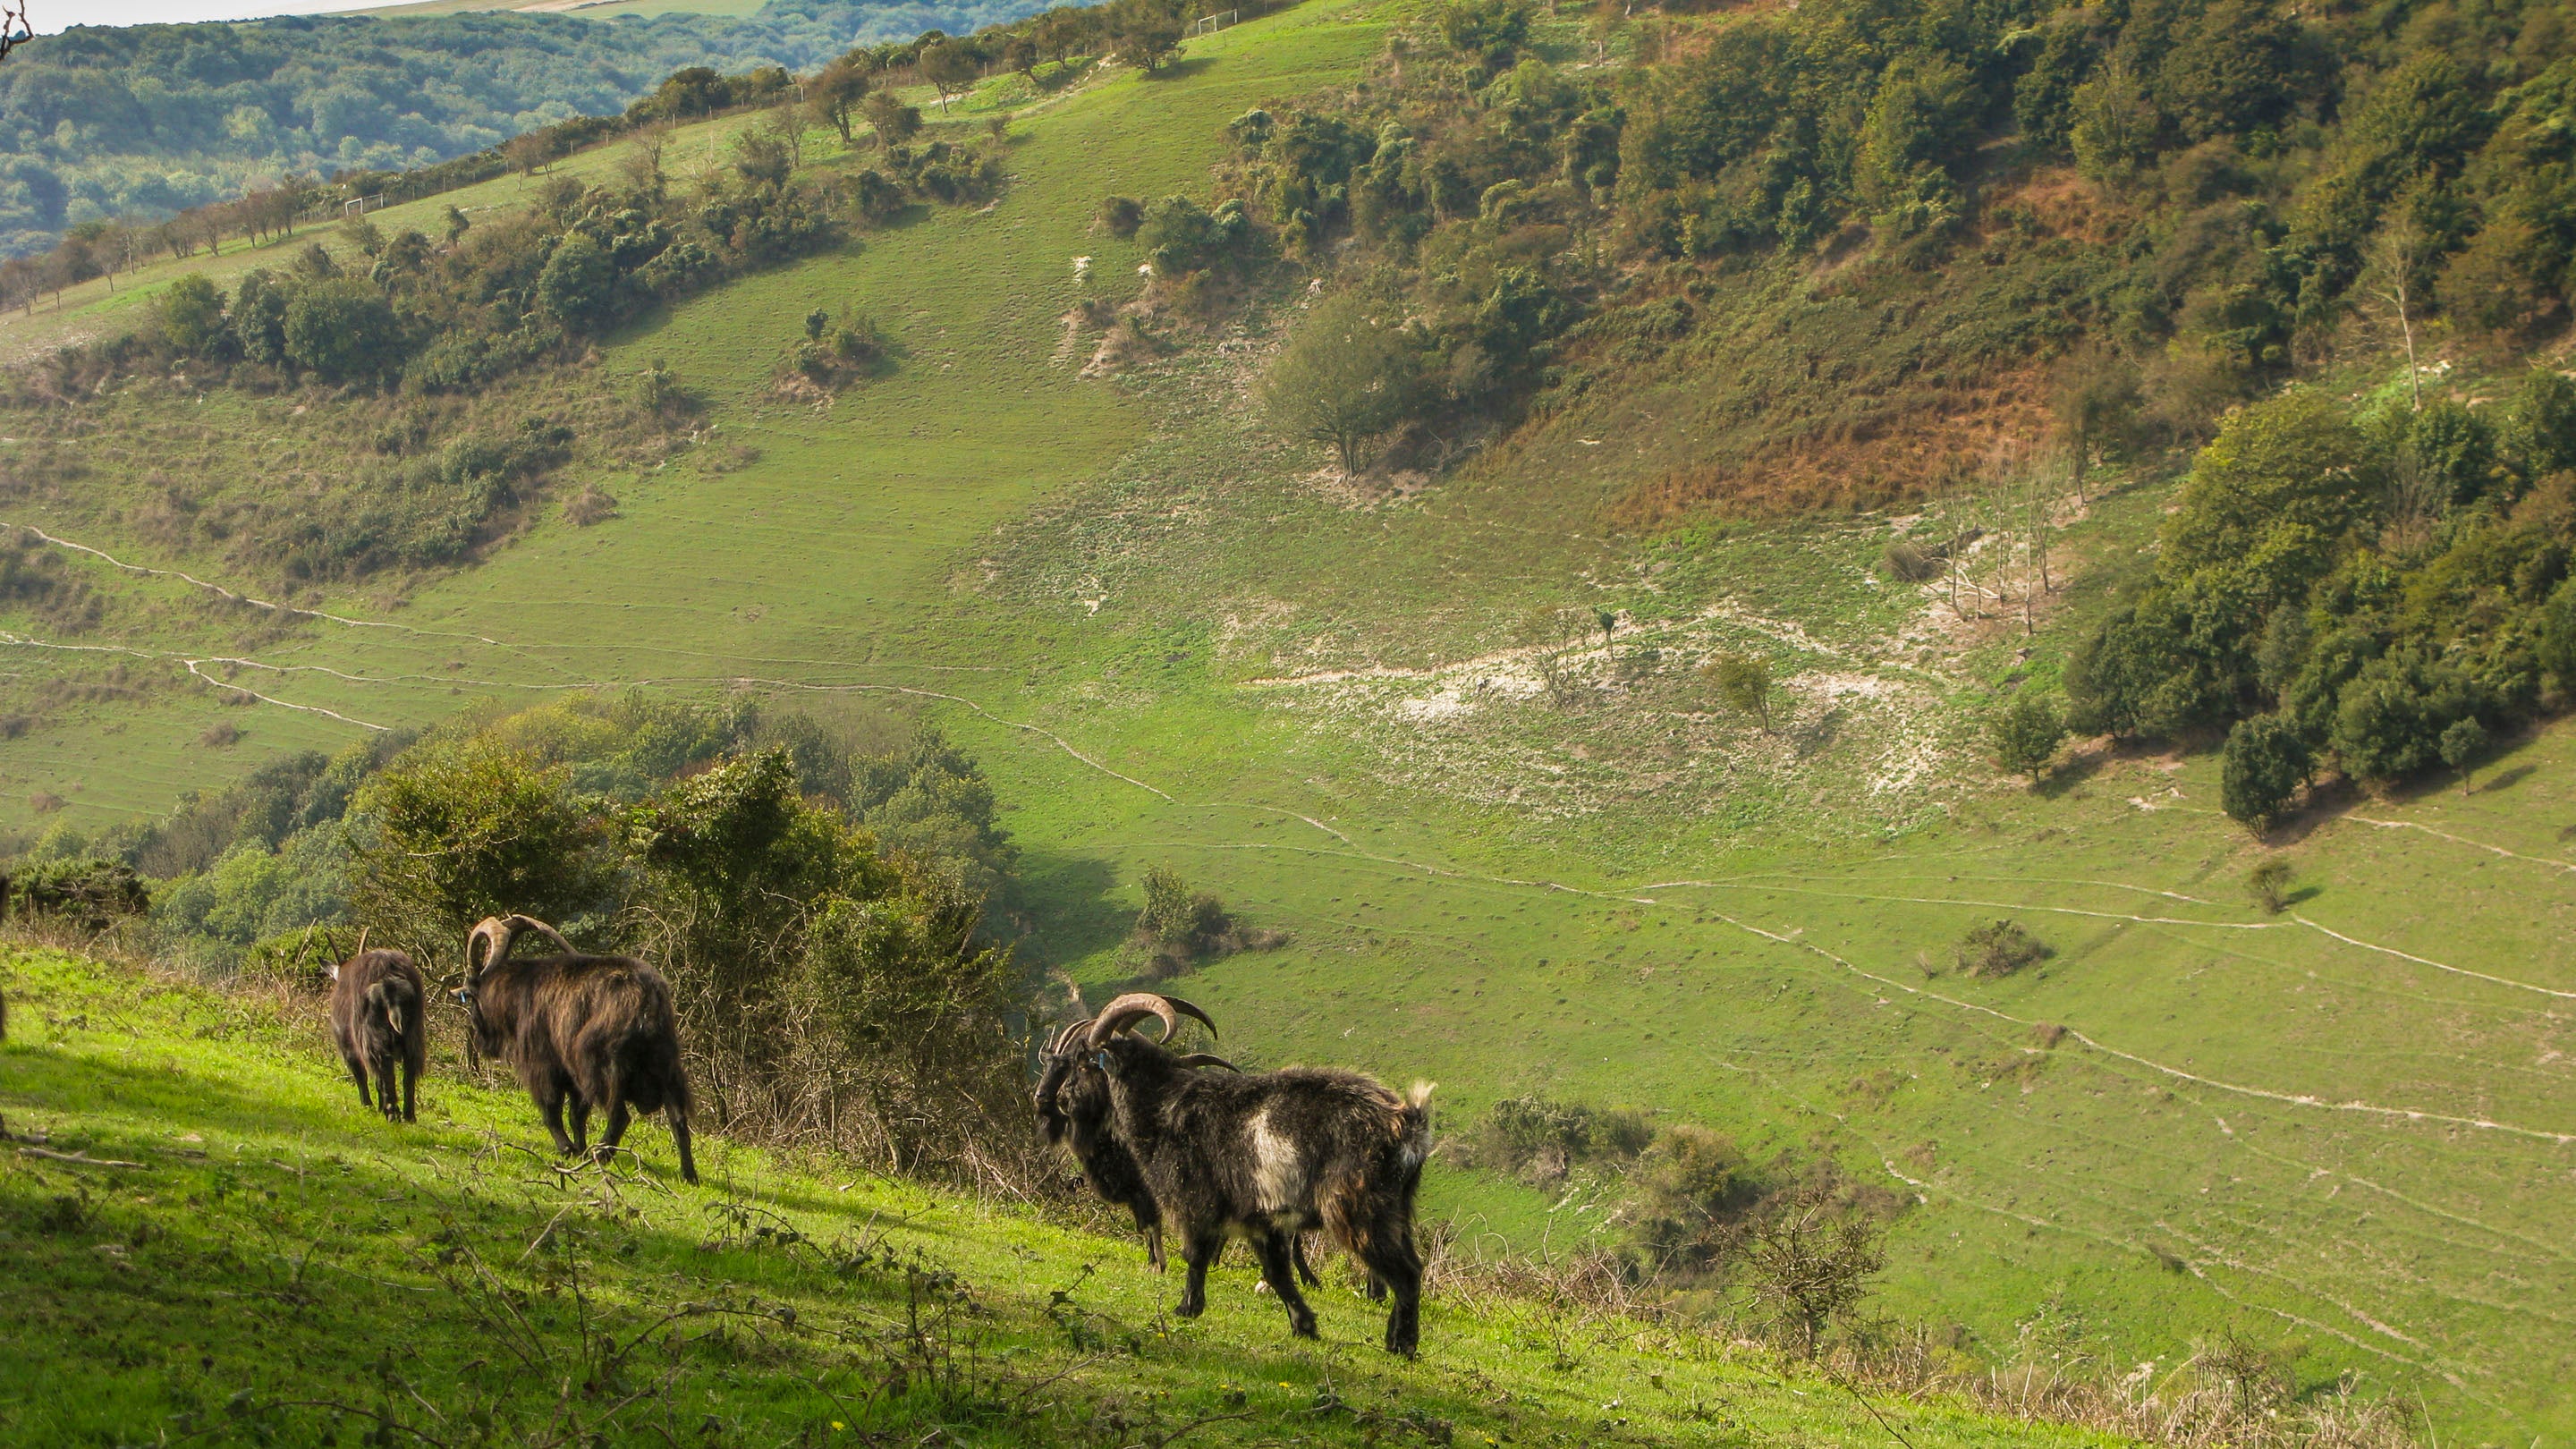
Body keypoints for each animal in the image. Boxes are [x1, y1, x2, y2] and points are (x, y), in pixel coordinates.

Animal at [326, 932, 426, 1122]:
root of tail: (390, 981)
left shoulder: (348, 1045)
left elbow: (361, 1074)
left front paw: (368, 1105)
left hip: (371, 1034)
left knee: (384, 1069)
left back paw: (392, 1113)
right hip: (414, 1033)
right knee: (408, 1071)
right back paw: (408, 1116)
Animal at [459, 914, 698, 1184]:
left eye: (471, 996)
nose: (481, 1040)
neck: (519, 989)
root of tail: (648, 999)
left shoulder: (543, 1064)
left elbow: (551, 1108)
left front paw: (567, 1149)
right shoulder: (574, 1078)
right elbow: (577, 1115)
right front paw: (579, 1150)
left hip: (599, 1063)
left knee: (620, 1117)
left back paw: (600, 1155)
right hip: (666, 1064)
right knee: (678, 1120)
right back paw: (689, 1176)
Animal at [1035, 1008, 1323, 1288]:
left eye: (1070, 1066)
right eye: (1048, 1064)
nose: (1045, 1097)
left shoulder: (1149, 1188)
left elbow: (1150, 1223)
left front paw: (1157, 1264)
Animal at [1084, 993, 1433, 1355]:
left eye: (1091, 1058)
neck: (1162, 1107)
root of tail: (1408, 1122)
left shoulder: (1195, 1200)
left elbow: (1195, 1255)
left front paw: (1186, 1309)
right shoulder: (1262, 1220)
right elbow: (1276, 1271)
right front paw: (1304, 1325)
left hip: (1358, 1208)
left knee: (1404, 1273)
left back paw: (1401, 1344)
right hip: (1397, 1208)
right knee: (1413, 1266)